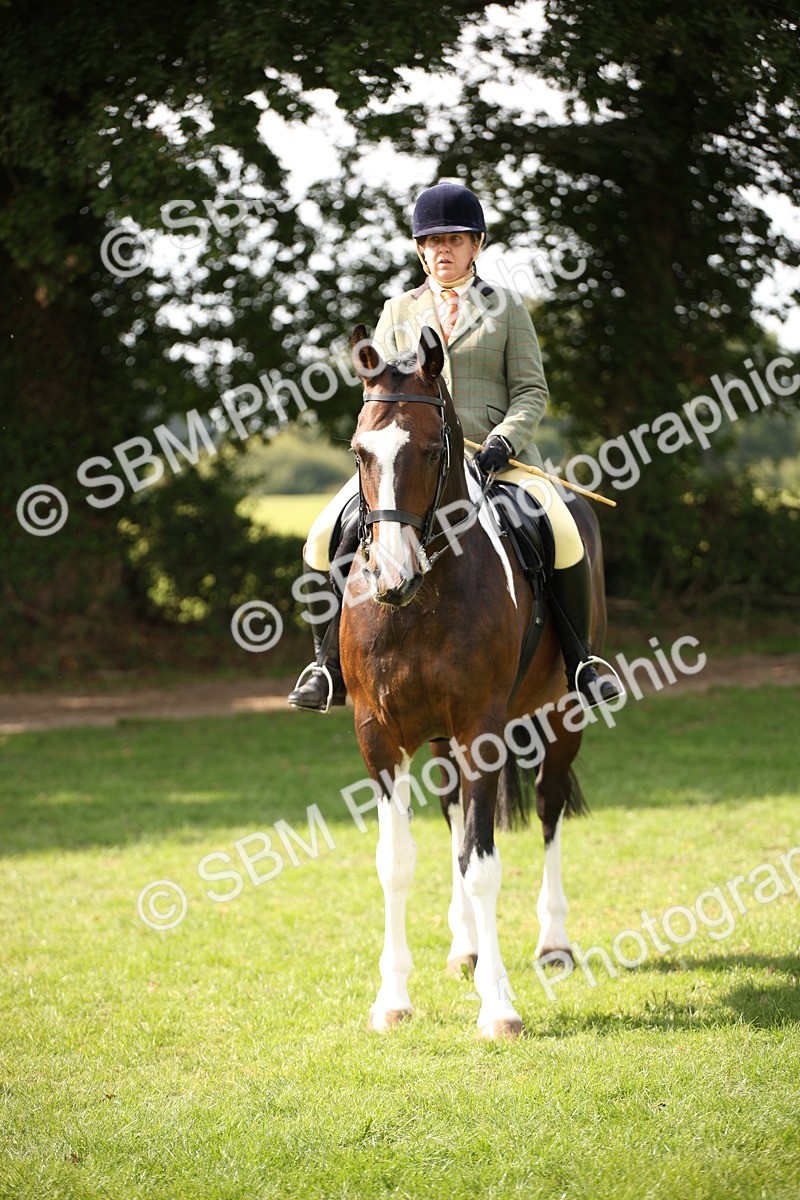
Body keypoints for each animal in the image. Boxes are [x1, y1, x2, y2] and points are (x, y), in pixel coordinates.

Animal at [339, 323, 607, 1039]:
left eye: (435, 452)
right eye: (359, 451)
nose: (391, 578)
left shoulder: (480, 731)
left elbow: (484, 863)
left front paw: (500, 1007)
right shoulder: (379, 735)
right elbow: (397, 862)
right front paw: (393, 998)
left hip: (561, 715)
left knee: (546, 807)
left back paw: (552, 944)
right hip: (437, 740)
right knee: (456, 816)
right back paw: (465, 947)